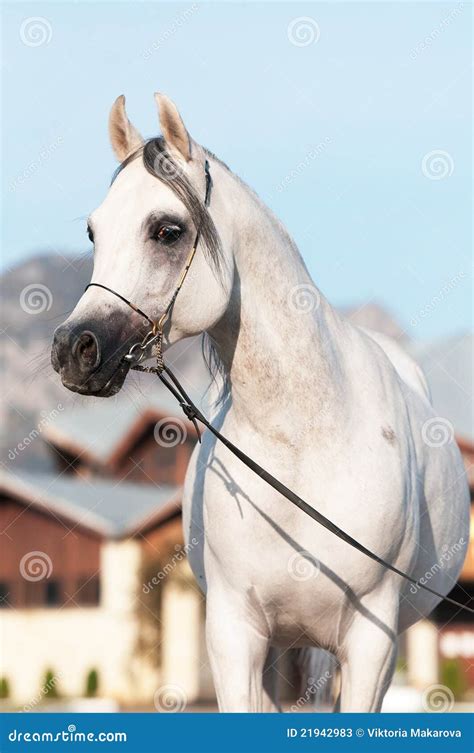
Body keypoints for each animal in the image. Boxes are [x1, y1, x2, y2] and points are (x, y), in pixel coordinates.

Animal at [52, 94, 470, 712]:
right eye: (92, 232)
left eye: (167, 230)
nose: (74, 351)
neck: (303, 442)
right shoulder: (236, 636)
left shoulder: (371, 643)